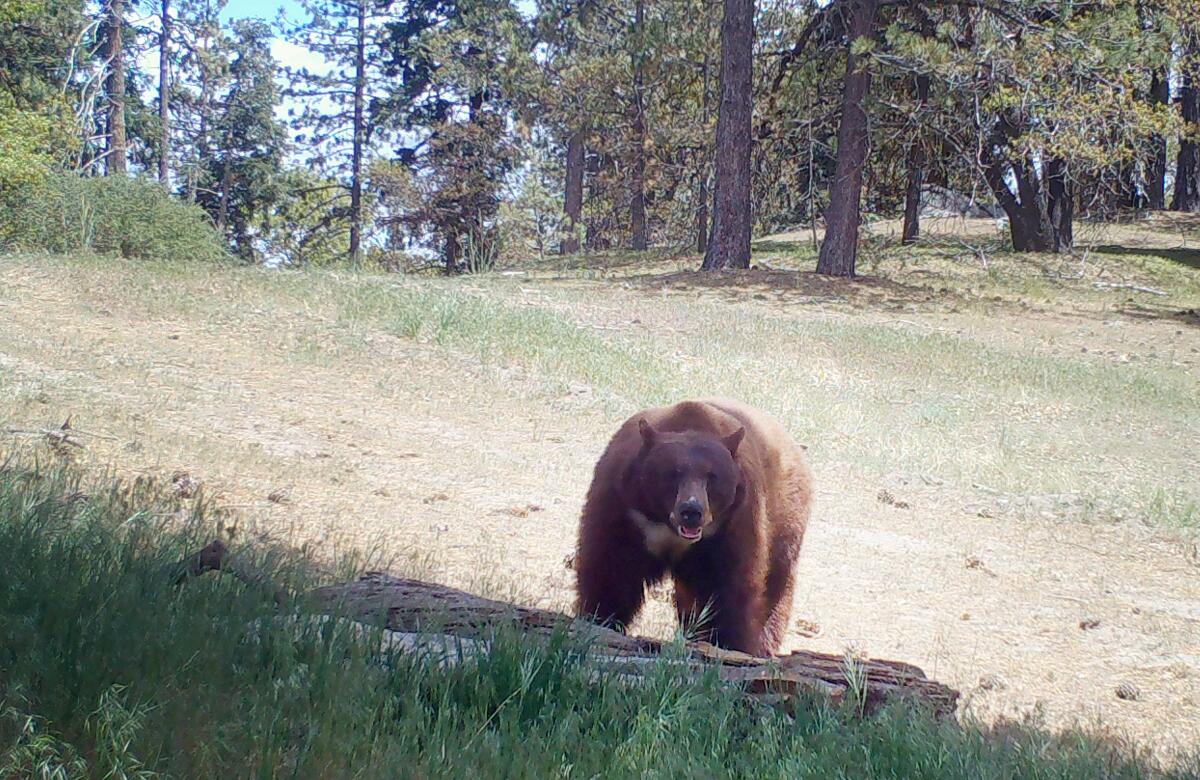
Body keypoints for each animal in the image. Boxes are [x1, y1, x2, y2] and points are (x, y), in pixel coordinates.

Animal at [573, 398, 816, 652]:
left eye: (712, 477)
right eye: (672, 473)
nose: (691, 511)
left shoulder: (733, 524)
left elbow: (729, 589)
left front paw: (728, 642)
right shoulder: (623, 509)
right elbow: (610, 570)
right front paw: (599, 619)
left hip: (785, 524)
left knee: (775, 587)